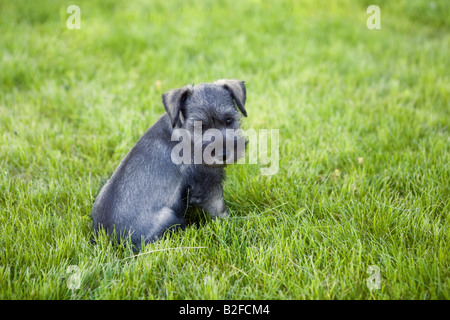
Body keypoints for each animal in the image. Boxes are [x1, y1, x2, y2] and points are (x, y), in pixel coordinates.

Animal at [90, 79, 246, 249]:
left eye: (229, 120)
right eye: (199, 127)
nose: (223, 154)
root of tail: (107, 240)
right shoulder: (207, 183)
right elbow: (218, 208)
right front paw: (231, 223)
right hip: (167, 216)